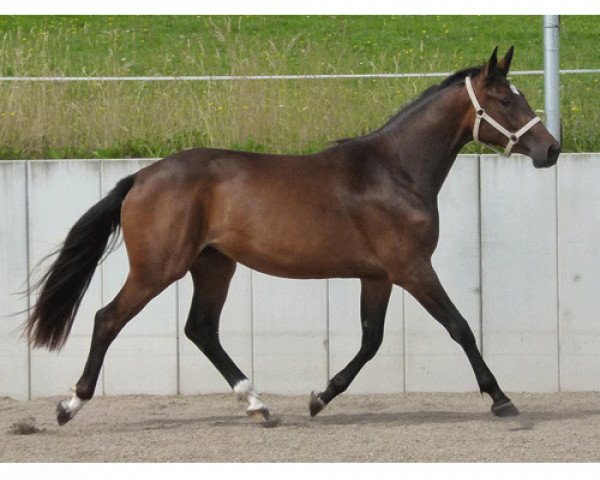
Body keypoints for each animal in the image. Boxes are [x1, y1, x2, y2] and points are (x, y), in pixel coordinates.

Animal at [24, 47, 556, 426]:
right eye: (506, 100)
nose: (551, 149)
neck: (395, 172)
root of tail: (140, 177)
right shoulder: (412, 269)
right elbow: (460, 326)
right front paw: (501, 399)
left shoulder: (378, 276)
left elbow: (371, 340)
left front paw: (320, 398)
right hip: (159, 268)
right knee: (107, 319)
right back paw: (69, 406)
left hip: (214, 264)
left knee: (201, 329)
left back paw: (258, 404)